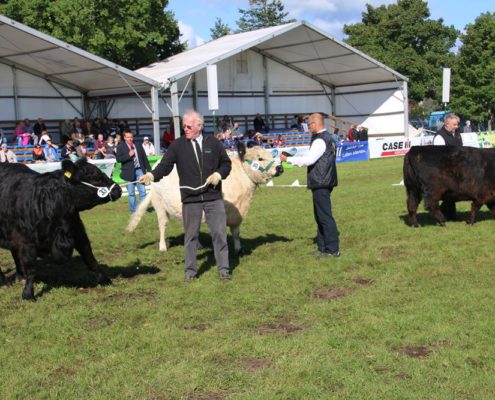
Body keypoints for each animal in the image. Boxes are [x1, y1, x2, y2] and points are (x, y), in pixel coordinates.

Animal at [0, 158, 123, 298]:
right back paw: (5, 282)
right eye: (93, 177)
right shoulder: (27, 240)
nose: (118, 189)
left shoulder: (79, 233)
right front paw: (28, 294)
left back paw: (20, 276)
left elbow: (90, 259)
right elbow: (31, 269)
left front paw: (105, 280)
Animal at [126, 143, 284, 253]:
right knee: (162, 225)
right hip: (159, 205)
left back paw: (197, 245)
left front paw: (239, 249)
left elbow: (236, 233)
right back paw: (163, 247)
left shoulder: (236, 215)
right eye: (260, 158)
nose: (280, 168)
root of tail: (157, 165)